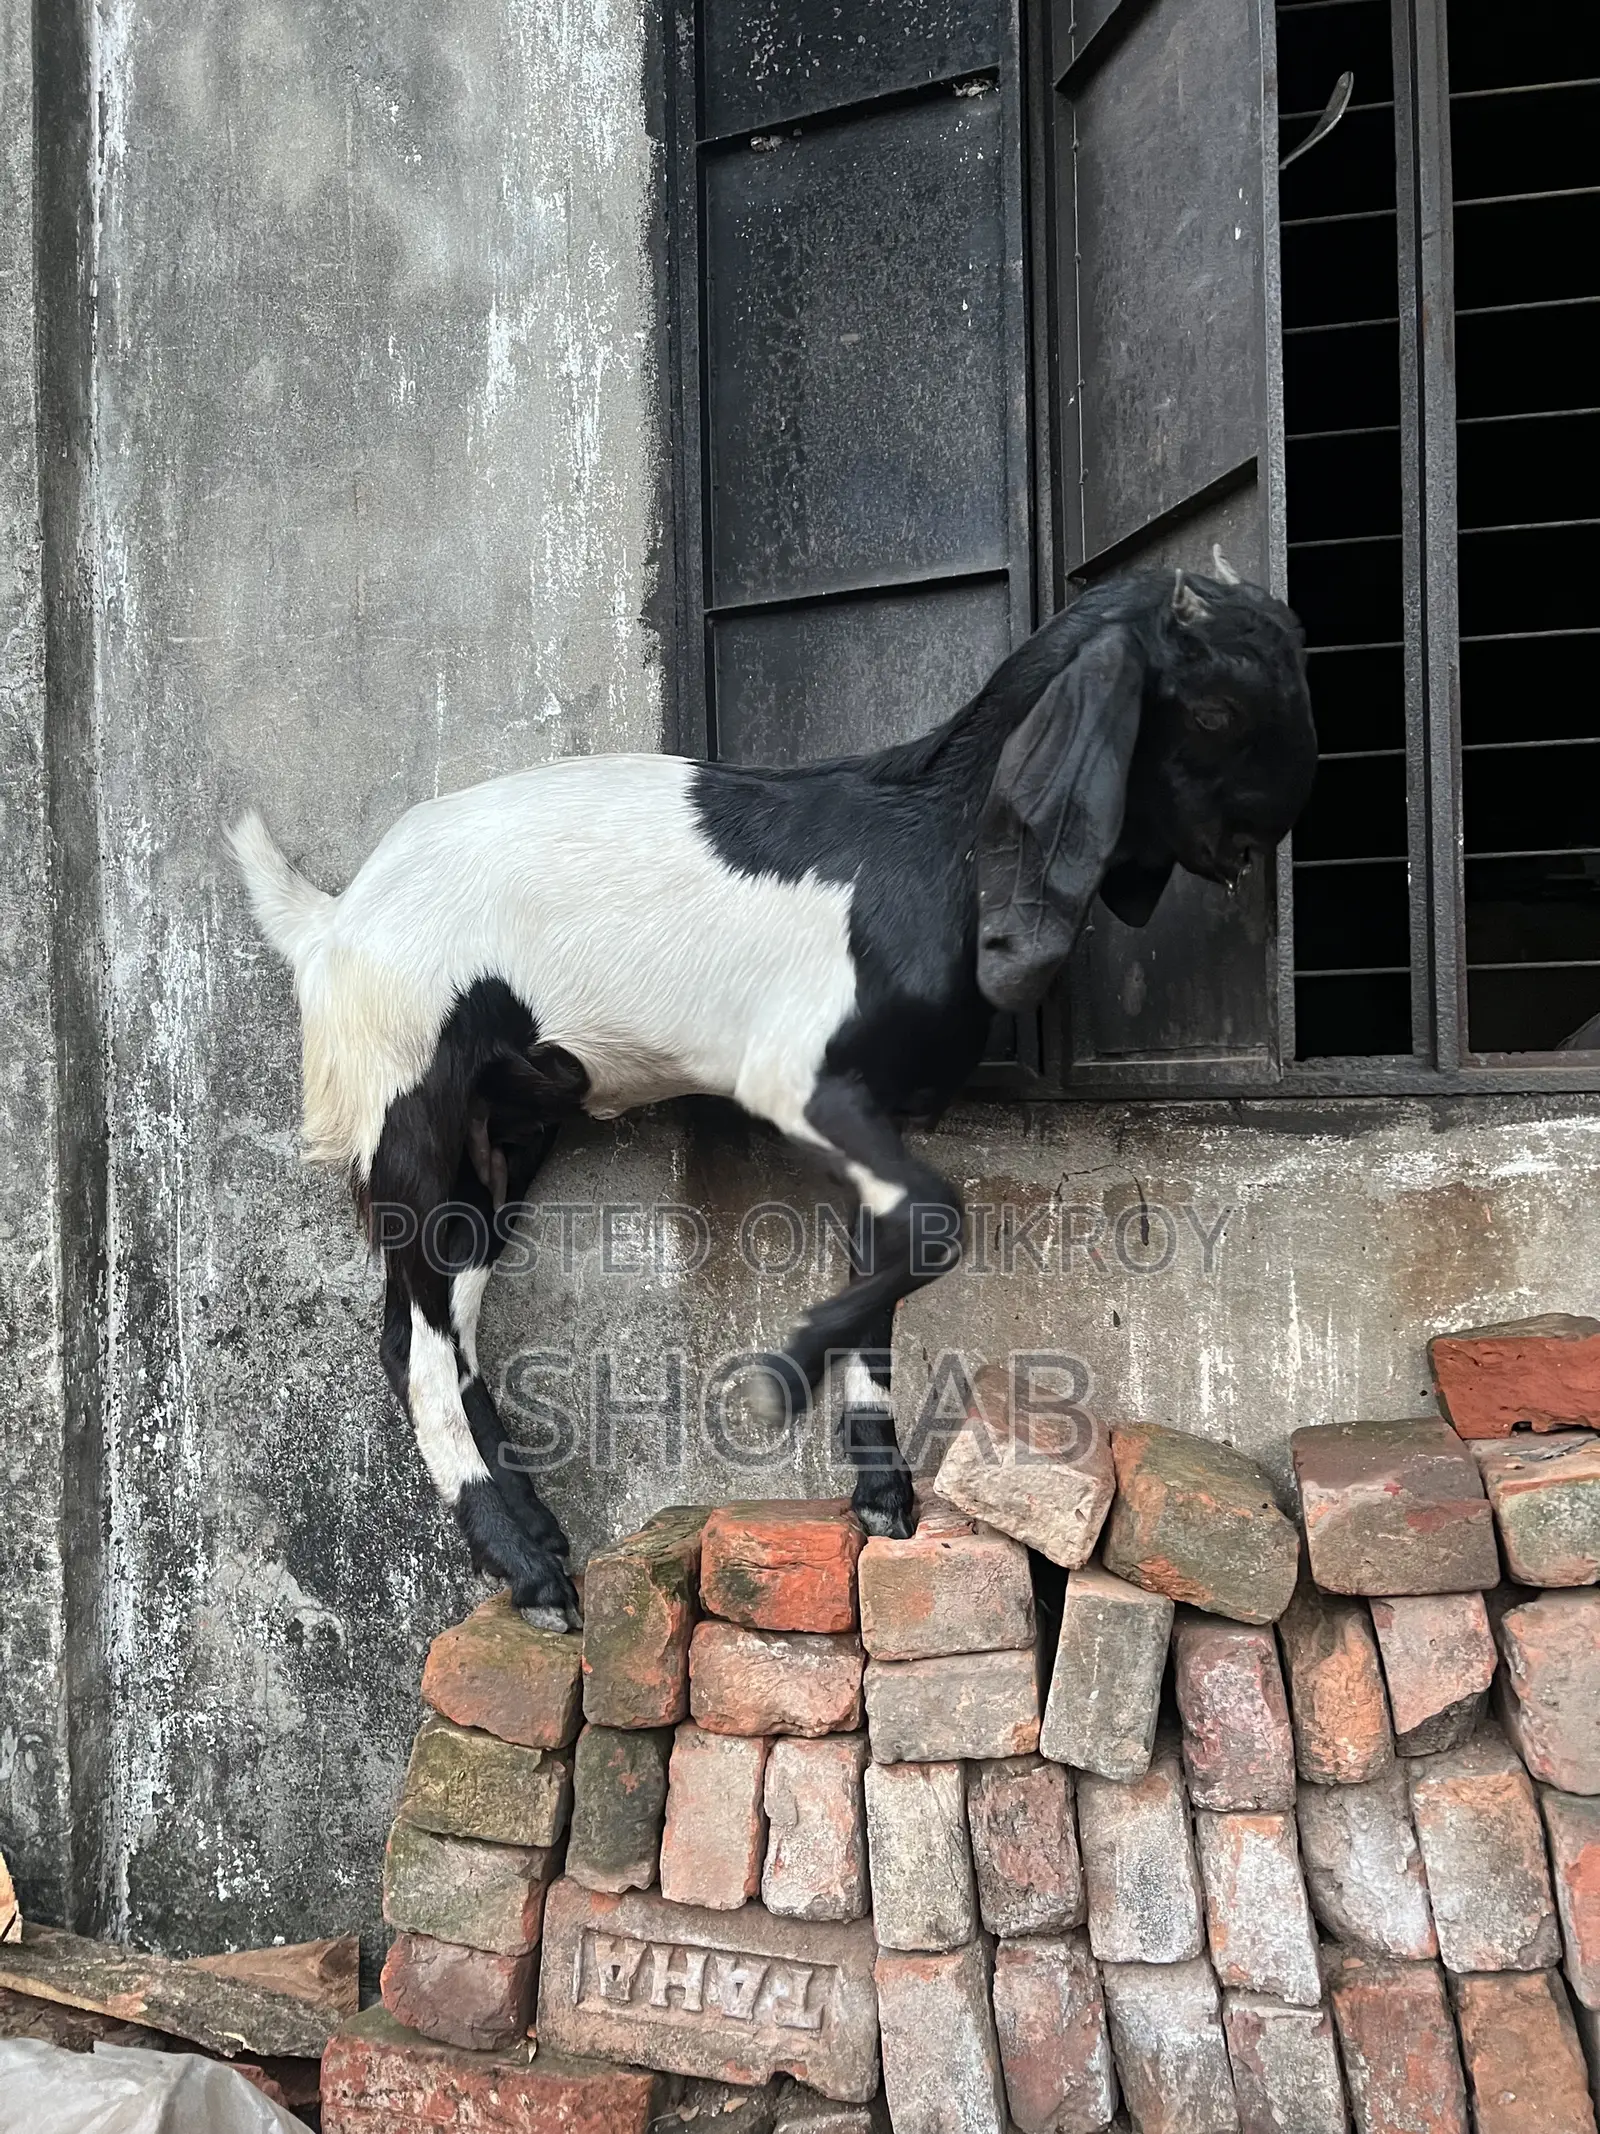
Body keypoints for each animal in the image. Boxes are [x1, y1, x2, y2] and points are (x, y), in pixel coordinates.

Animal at [231, 566, 1316, 1626]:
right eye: (1213, 709)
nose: (1271, 829)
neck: (932, 843)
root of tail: (330, 920)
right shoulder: (797, 1076)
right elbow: (936, 1220)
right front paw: (786, 1370)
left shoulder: (889, 1111)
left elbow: (893, 1265)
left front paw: (882, 1493)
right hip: (406, 1097)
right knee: (414, 1341)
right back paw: (527, 1568)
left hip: (510, 1126)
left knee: (442, 1318)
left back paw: (534, 1529)